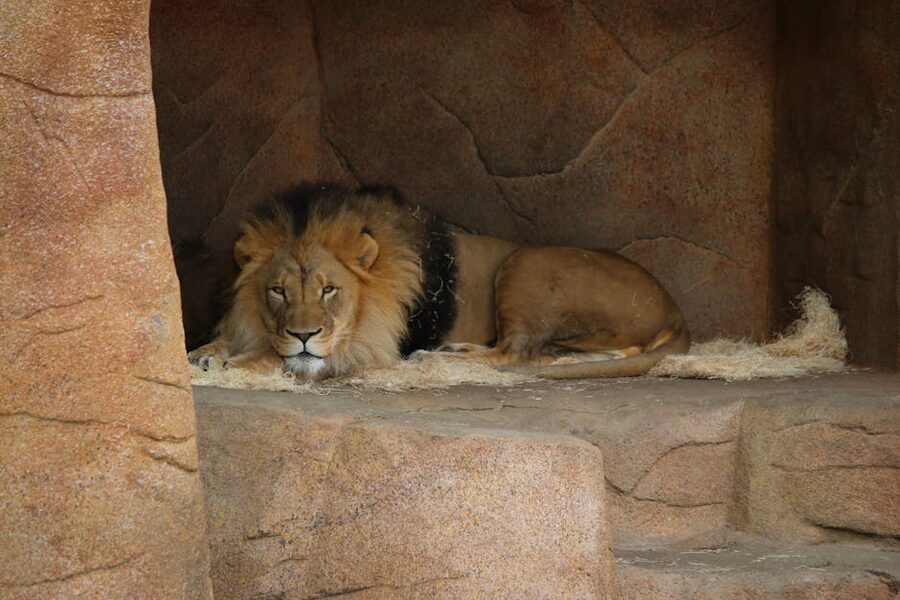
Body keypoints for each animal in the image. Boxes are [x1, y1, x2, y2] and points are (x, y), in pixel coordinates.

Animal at [188, 184, 690, 380]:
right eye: (278, 290)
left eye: (330, 290)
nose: (304, 333)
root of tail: (674, 305)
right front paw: (205, 352)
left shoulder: (367, 345)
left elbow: (289, 359)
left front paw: (238, 361)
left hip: (525, 262)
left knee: (517, 354)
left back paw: (438, 356)